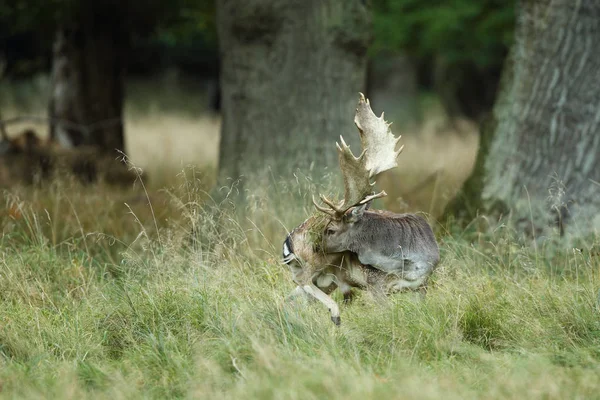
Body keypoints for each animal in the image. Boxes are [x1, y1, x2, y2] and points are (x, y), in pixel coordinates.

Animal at [284, 93, 438, 324]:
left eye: (331, 230)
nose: (312, 247)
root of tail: (288, 241)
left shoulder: (422, 286)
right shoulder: (375, 283)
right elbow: (386, 313)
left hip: (325, 278)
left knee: (292, 297)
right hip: (319, 268)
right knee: (301, 281)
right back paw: (335, 313)